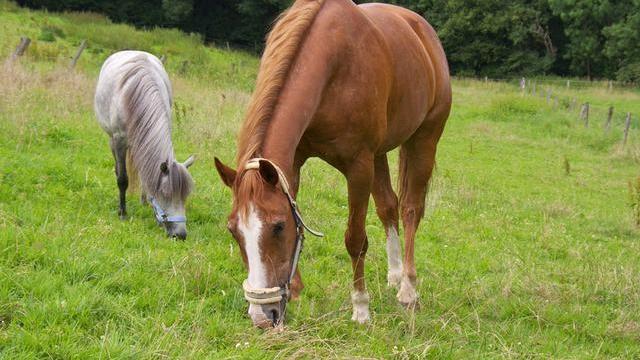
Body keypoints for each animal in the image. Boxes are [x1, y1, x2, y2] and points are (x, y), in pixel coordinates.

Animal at [95, 50, 195, 240]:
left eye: (185, 195)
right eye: (165, 194)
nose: (180, 234)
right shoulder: (119, 140)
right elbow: (123, 179)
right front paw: (122, 213)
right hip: (112, 139)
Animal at [214, 0, 450, 328]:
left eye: (277, 227)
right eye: (233, 230)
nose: (262, 317)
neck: (333, 63)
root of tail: (423, 32)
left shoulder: (358, 167)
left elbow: (355, 238)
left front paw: (361, 308)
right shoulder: (293, 164)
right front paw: (295, 290)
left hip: (424, 139)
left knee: (411, 210)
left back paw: (408, 289)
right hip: (380, 154)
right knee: (388, 206)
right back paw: (394, 274)